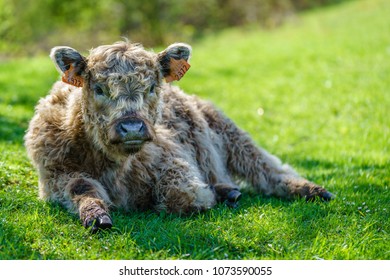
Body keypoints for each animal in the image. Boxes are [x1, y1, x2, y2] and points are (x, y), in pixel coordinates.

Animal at [25, 40, 334, 232]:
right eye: (99, 88)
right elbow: (82, 187)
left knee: (266, 168)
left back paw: (311, 190)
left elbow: (181, 196)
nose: (132, 127)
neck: (115, 167)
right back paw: (229, 191)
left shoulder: (175, 163)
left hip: (233, 135)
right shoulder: (54, 174)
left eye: (152, 87)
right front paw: (97, 216)